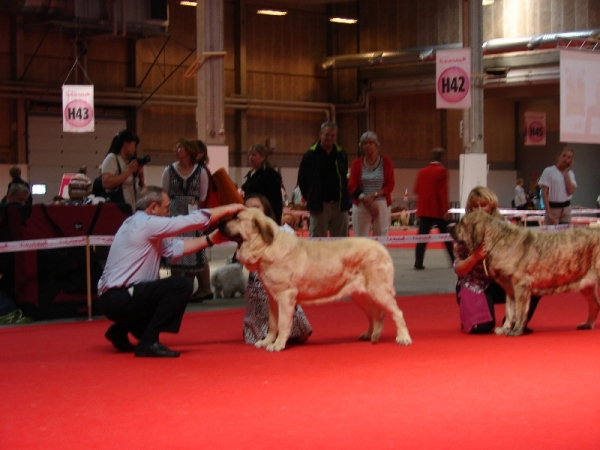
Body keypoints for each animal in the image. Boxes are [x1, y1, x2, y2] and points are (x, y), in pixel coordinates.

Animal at [220, 207, 412, 352]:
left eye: (237, 218)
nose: (220, 223)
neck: (266, 246)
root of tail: (382, 247)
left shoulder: (285, 297)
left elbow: (282, 323)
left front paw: (278, 345)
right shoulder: (273, 299)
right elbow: (272, 324)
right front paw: (267, 342)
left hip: (379, 290)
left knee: (397, 312)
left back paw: (403, 337)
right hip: (361, 295)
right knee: (374, 315)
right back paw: (370, 335)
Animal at [450, 210, 600, 334]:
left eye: (462, 222)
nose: (449, 227)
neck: (496, 240)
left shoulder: (520, 285)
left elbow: (520, 310)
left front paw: (516, 330)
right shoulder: (509, 289)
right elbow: (510, 310)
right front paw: (504, 328)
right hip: (587, 286)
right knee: (594, 305)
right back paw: (587, 324)